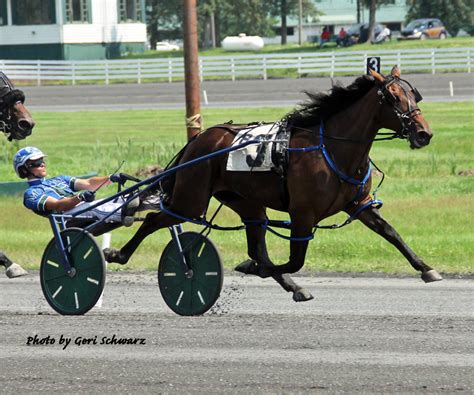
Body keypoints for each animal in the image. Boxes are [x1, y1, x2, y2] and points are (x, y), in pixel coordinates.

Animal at [105, 68, 442, 302]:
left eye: (415, 95)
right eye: (393, 97)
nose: (424, 134)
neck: (332, 149)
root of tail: (198, 140)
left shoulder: (358, 204)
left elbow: (390, 232)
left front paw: (427, 268)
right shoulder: (302, 213)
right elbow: (295, 260)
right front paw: (252, 268)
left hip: (247, 203)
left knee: (256, 245)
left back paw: (292, 286)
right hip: (191, 199)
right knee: (153, 219)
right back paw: (117, 254)